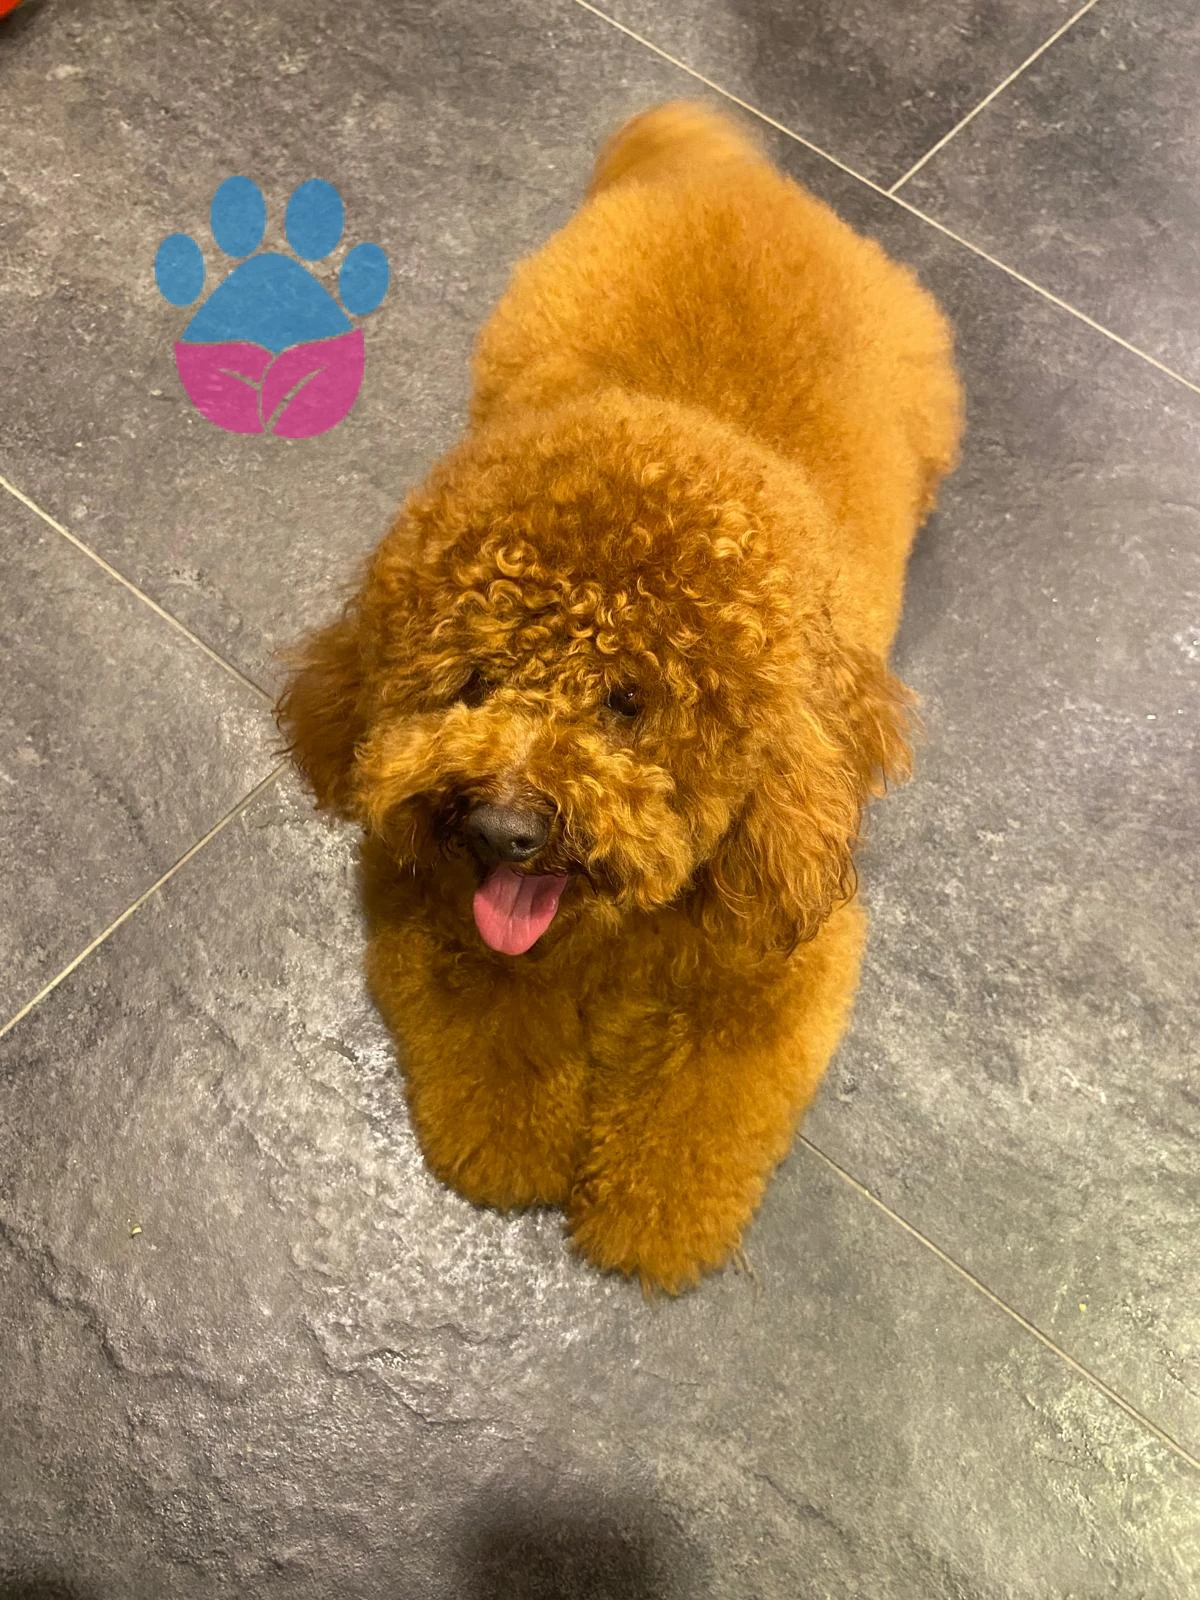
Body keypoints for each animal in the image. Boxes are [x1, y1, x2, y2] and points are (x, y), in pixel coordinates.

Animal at [278, 103, 962, 1292]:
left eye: (630, 701)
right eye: (473, 679)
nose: (503, 827)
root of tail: (729, 169)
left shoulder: (783, 945)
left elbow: (705, 1102)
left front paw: (648, 1214)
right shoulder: (423, 890)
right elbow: (491, 1021)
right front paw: (516, 1146)